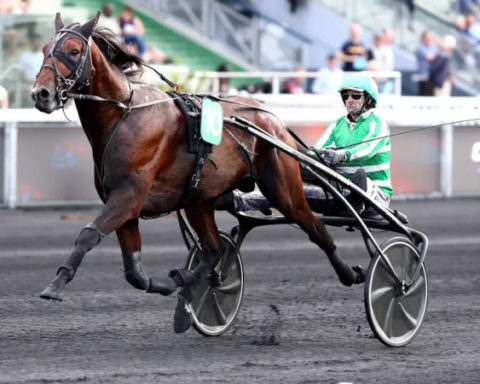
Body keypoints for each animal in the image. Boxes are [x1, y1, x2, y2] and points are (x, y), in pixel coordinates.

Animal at [31, 12, 364, 332]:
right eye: (45, 49)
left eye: (74, 51)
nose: (40, 94)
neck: (124, 114)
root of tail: (271, 118)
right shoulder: (124, 204)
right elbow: (134, 272)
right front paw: (169, 283)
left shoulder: (128, 197)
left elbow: (89, 234)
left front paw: (55, 284)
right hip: (199, 200)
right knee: (213, 250)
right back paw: (189, 289)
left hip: (282, 188)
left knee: (315, 227)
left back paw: (352, 273)